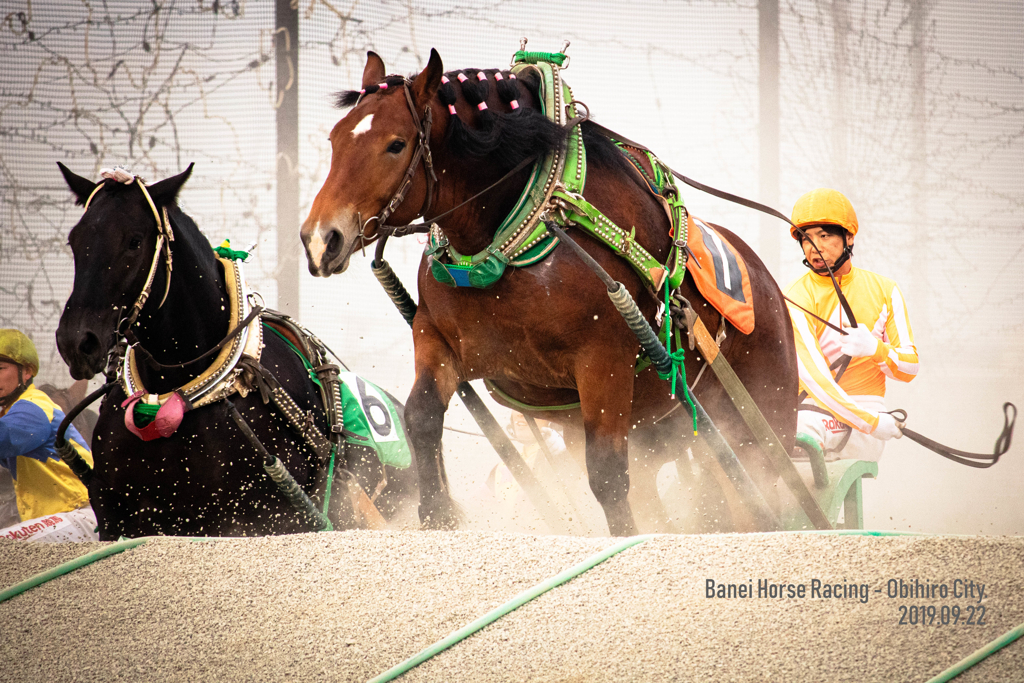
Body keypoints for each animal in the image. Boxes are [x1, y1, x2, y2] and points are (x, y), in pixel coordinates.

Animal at [55, 163, 415, 540]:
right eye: (75, 240)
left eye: (134, 241)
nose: (77, 341)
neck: (175, 390)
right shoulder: (117, 516)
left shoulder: (269, 518)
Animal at [299, 50, 794, 536]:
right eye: (335, 139)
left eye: (396, 144)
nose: (321, 239)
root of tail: (773, 294)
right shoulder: (436, 335)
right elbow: (421, 416)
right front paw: (439, 515)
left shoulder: (604, 358)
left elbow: (607, 472)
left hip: (762, 421)